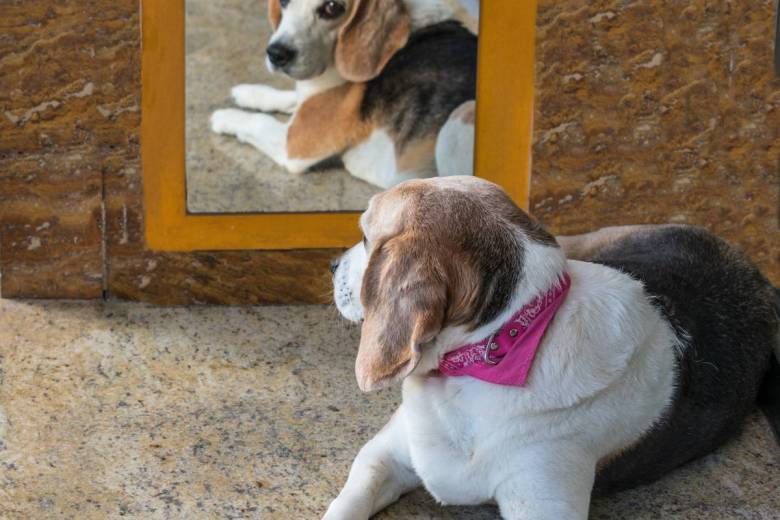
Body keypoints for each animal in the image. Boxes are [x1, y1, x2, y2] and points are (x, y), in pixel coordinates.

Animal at [209, 0, 476, 190]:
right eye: (284, 1)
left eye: (332, 7)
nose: (276, 53)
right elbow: (289, 98)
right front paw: (249, 92)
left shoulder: (296, 143)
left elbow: (258, 121)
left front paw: (225, 116)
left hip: (458, 117)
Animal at [328, 177, 780, 516]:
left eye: (365, 236)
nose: (331, 264)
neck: (492, 352)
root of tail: (752, 270)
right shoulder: (384, 455)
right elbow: (348, 500)